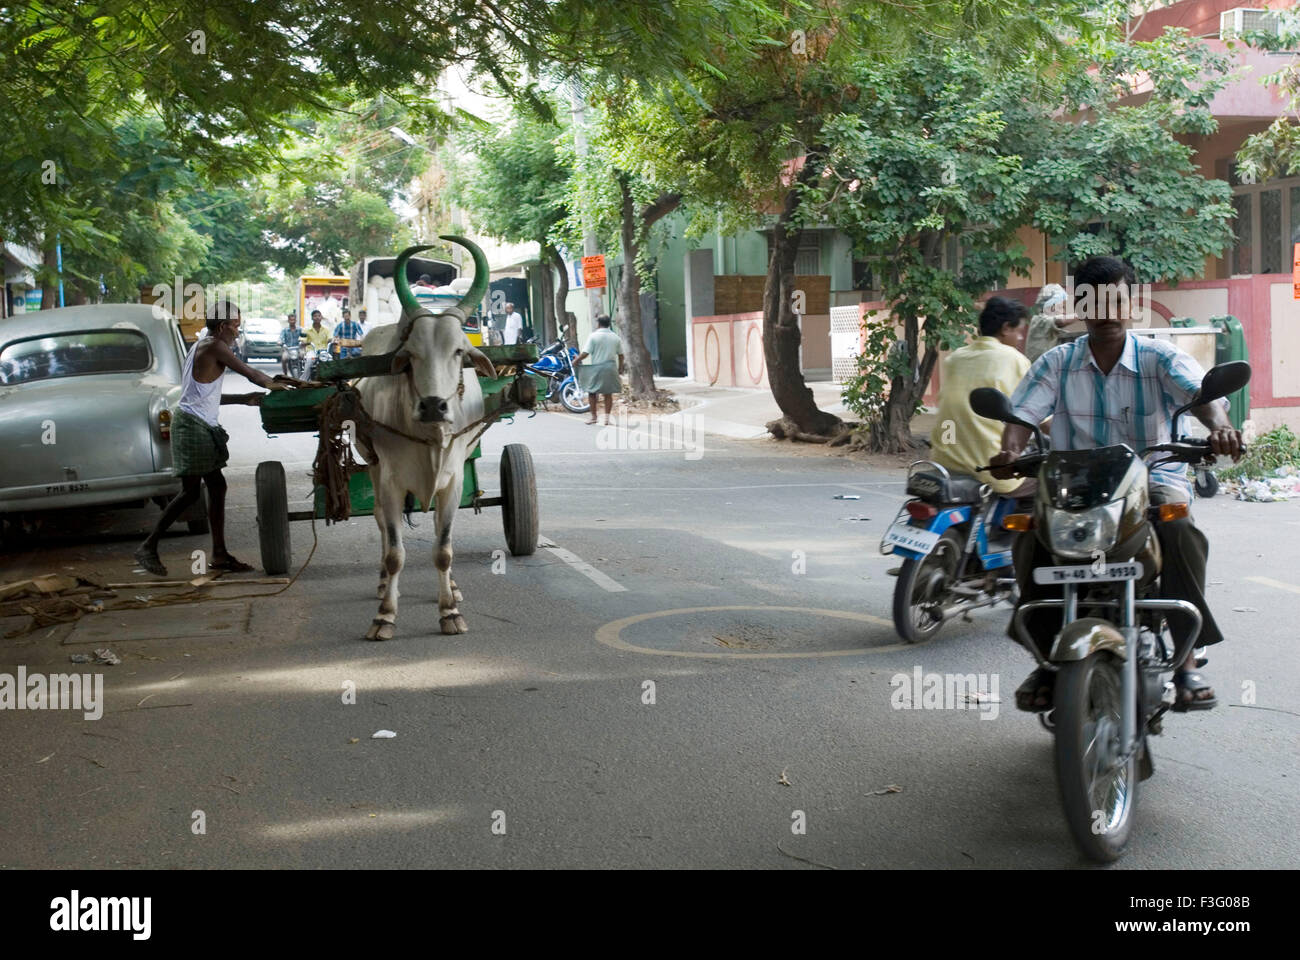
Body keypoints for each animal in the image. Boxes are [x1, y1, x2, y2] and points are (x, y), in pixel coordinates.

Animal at [353, 239, 493, 640]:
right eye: (412, 354)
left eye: (459, 350)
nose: (433, 405)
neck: (430, 438)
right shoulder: (389, 481)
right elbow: (395, 552)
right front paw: (384, 616)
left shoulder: (454, 479)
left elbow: (443, 548)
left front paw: (449, 611)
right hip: (371, 465)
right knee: (382, 523)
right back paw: (383, 584)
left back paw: (454, 588)